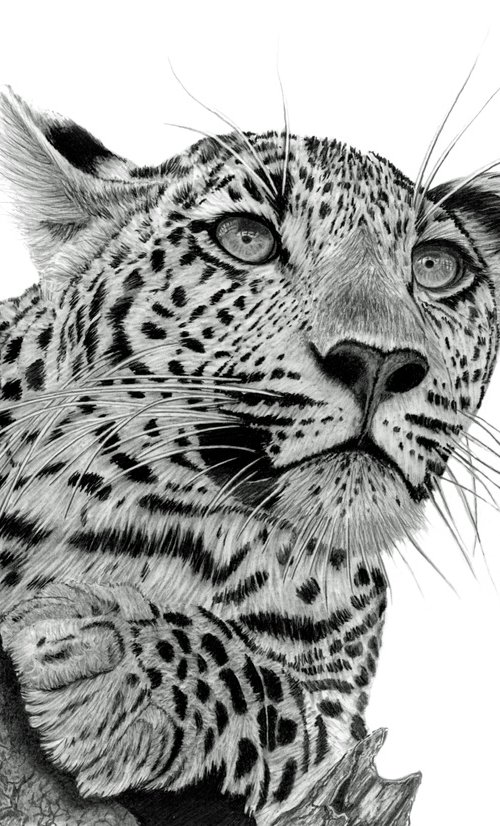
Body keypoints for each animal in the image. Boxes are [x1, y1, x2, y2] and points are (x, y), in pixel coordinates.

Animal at [0, 84, 498, 825]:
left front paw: (118, 673)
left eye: (436, 267)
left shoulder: (335, 703)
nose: (380, 363)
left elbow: (274, 695)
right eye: (247, 239)